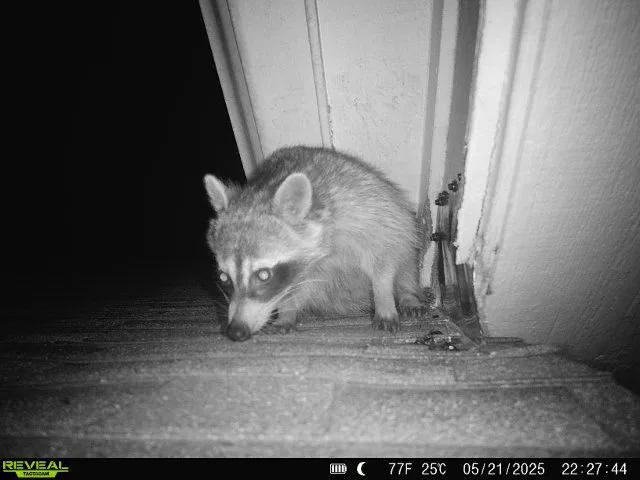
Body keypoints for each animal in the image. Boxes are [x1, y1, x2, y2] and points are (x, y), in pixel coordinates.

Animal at [204, 146, 422, 341]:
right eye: (223, 277)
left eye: (263, 274)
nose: (235, 332)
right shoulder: (302, 274)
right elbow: (292, 290)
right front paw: (287, 311)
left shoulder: (367, 216)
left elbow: (383, 263)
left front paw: (384, 299)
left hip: (399, 219)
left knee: (406, 263)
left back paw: (407, 294)